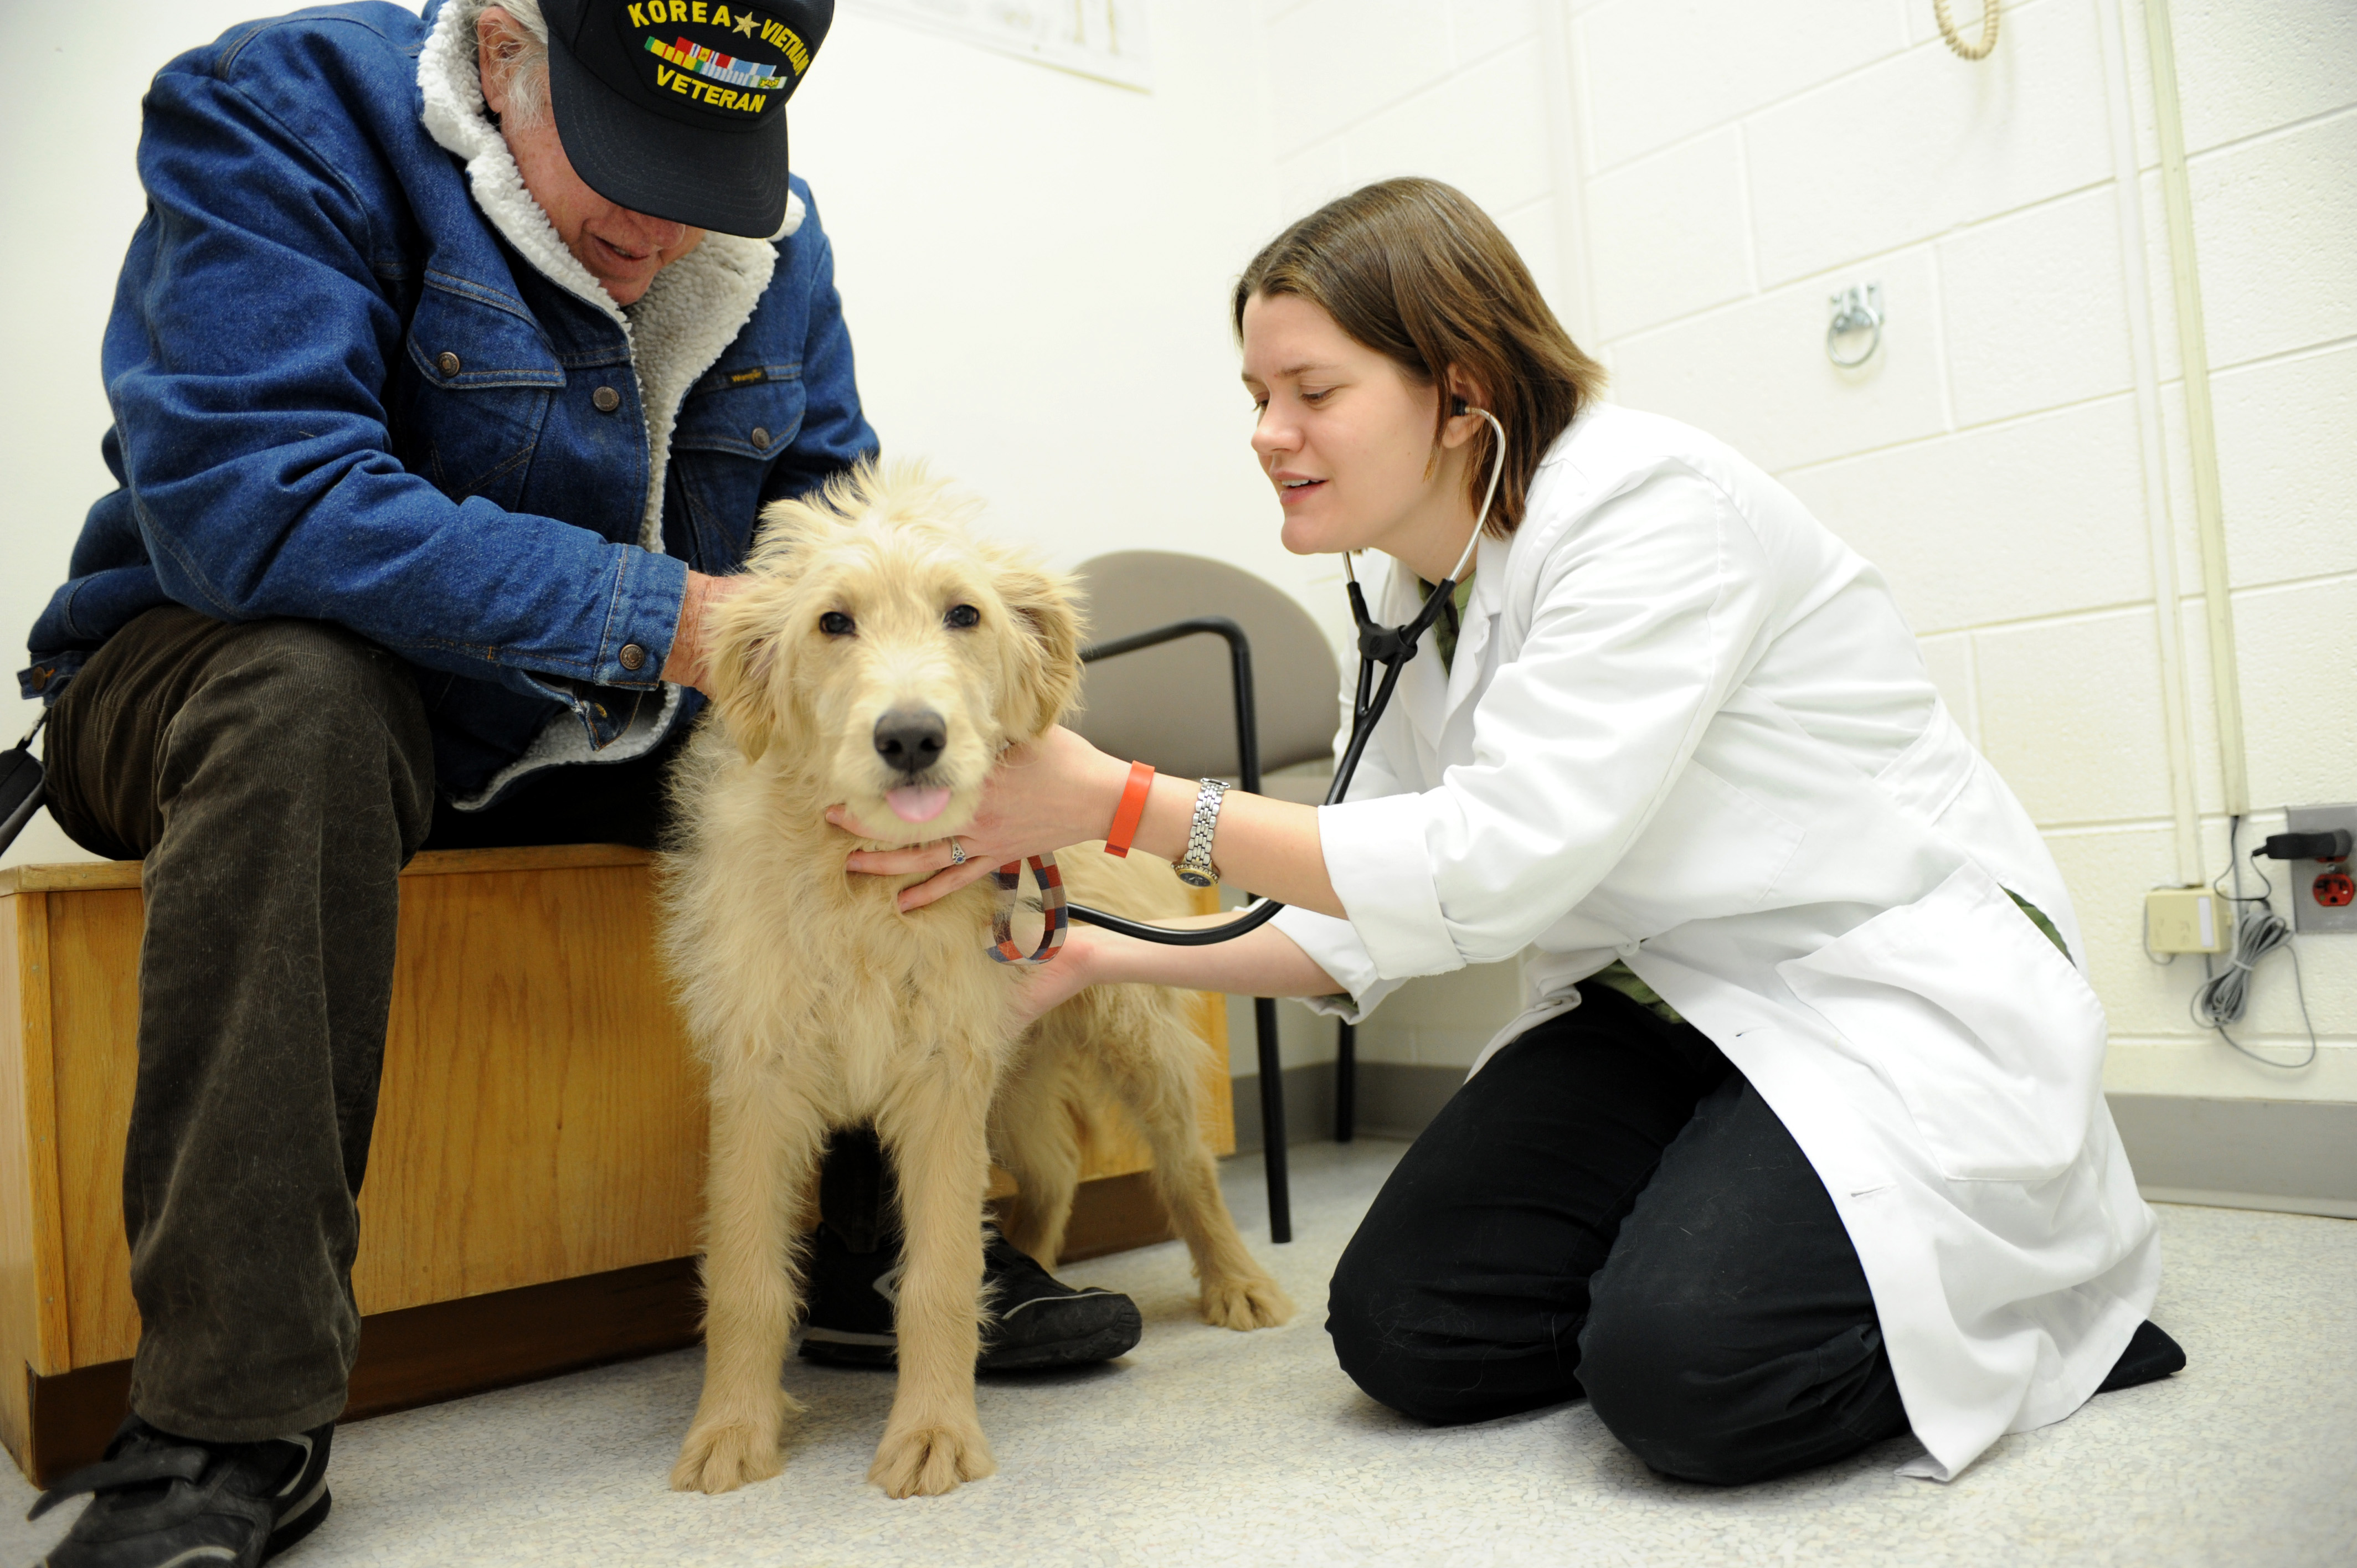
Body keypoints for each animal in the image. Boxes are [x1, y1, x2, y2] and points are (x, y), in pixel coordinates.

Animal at [660, 460, 1291, 1499]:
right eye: (833, 623)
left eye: (964, 614)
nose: (912, 737)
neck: (868, 889)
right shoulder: (762, 1076)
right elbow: (748, 1276)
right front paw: (731, 1430)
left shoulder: (940, 1078)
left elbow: (940, 1273)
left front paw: (932, 1432)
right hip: (1015, 1070)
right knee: (1056, 1168)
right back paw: (1033, 1279)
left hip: (1131, 1034)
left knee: (1185, 1163)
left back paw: (1237, 1280)